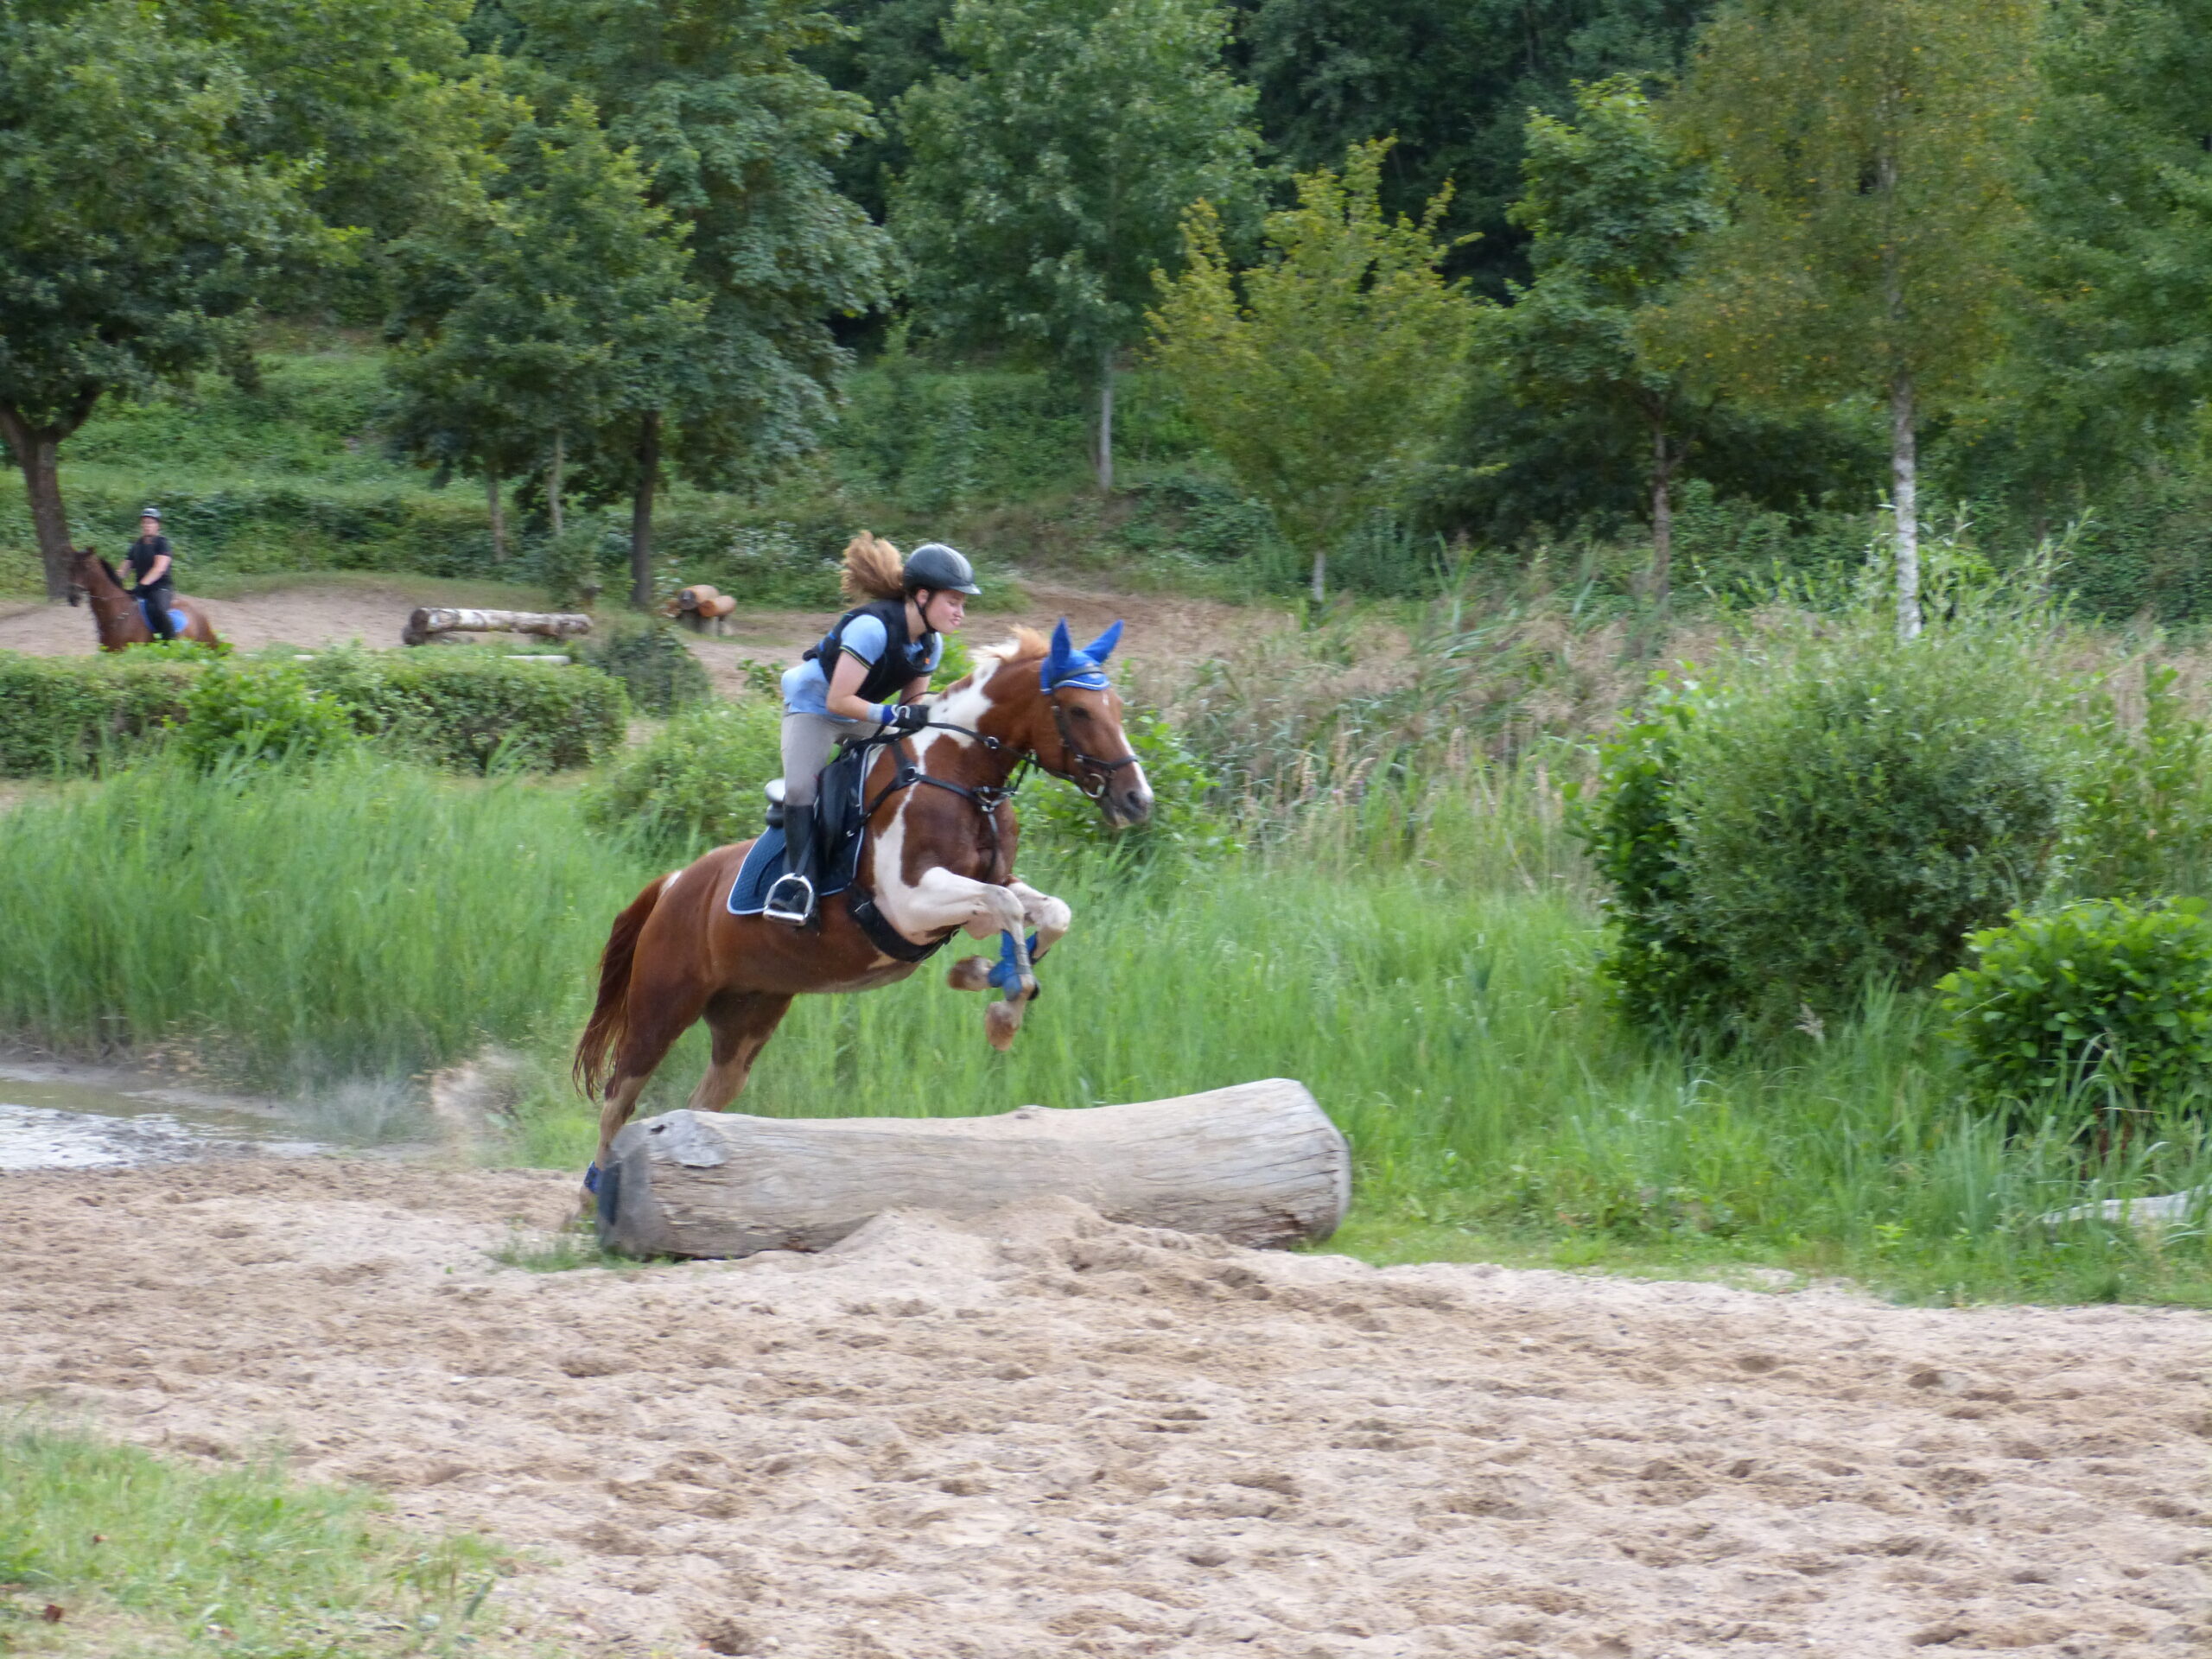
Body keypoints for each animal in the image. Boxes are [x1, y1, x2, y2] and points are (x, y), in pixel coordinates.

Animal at [570, 623, 1159, 1194]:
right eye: (1079, 710)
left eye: (1118, 708)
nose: (1138, 801)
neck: (961, 772)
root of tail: (674, 884)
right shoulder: (909, 903)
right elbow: (1007, 906)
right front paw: (1002, 1010)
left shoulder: (982, 886)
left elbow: (1050, 912)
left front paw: (987, 976)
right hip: (661, 1009)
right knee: (617, 1100)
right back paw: (593, 1196)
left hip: (746, 1022)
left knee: (702, 1103)